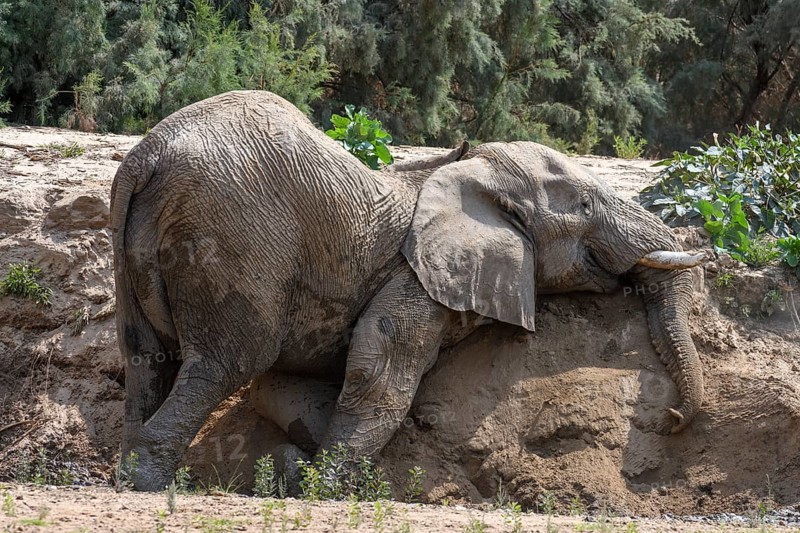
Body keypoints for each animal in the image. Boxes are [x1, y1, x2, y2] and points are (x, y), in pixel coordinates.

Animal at [111, 90, 705, 492]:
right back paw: (151, 484)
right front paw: (321, 487)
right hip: (234, 236)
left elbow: (288, 384)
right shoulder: (417, 279)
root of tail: (146, 153)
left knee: (147, 359)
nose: (670, 419)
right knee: (228, 362)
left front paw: (295, 470)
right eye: (584, 206)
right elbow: (377, 374)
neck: (469, 174)